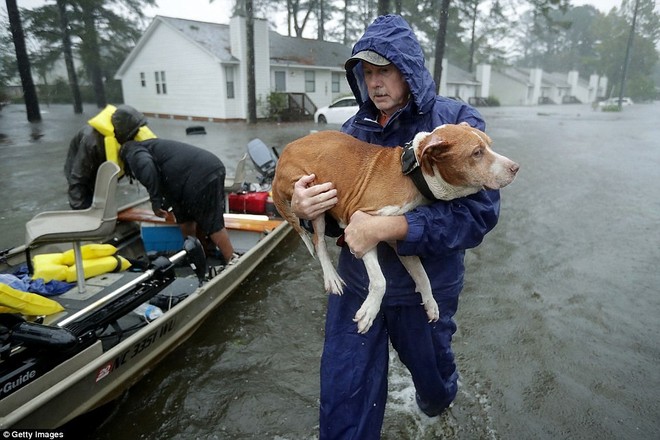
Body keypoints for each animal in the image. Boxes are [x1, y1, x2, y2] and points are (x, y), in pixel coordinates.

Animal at [270, 123, 520, 334]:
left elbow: (422, 275)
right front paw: (369, 312)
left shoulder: (400, 237)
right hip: (314, 194)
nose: (515, 167)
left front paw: (430, 303)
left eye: (489, 145)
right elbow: (380, 281)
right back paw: (332, 278)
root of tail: (284, 154)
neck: (415, 175)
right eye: (477, 153)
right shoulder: (359, 227)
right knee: (318, 242)